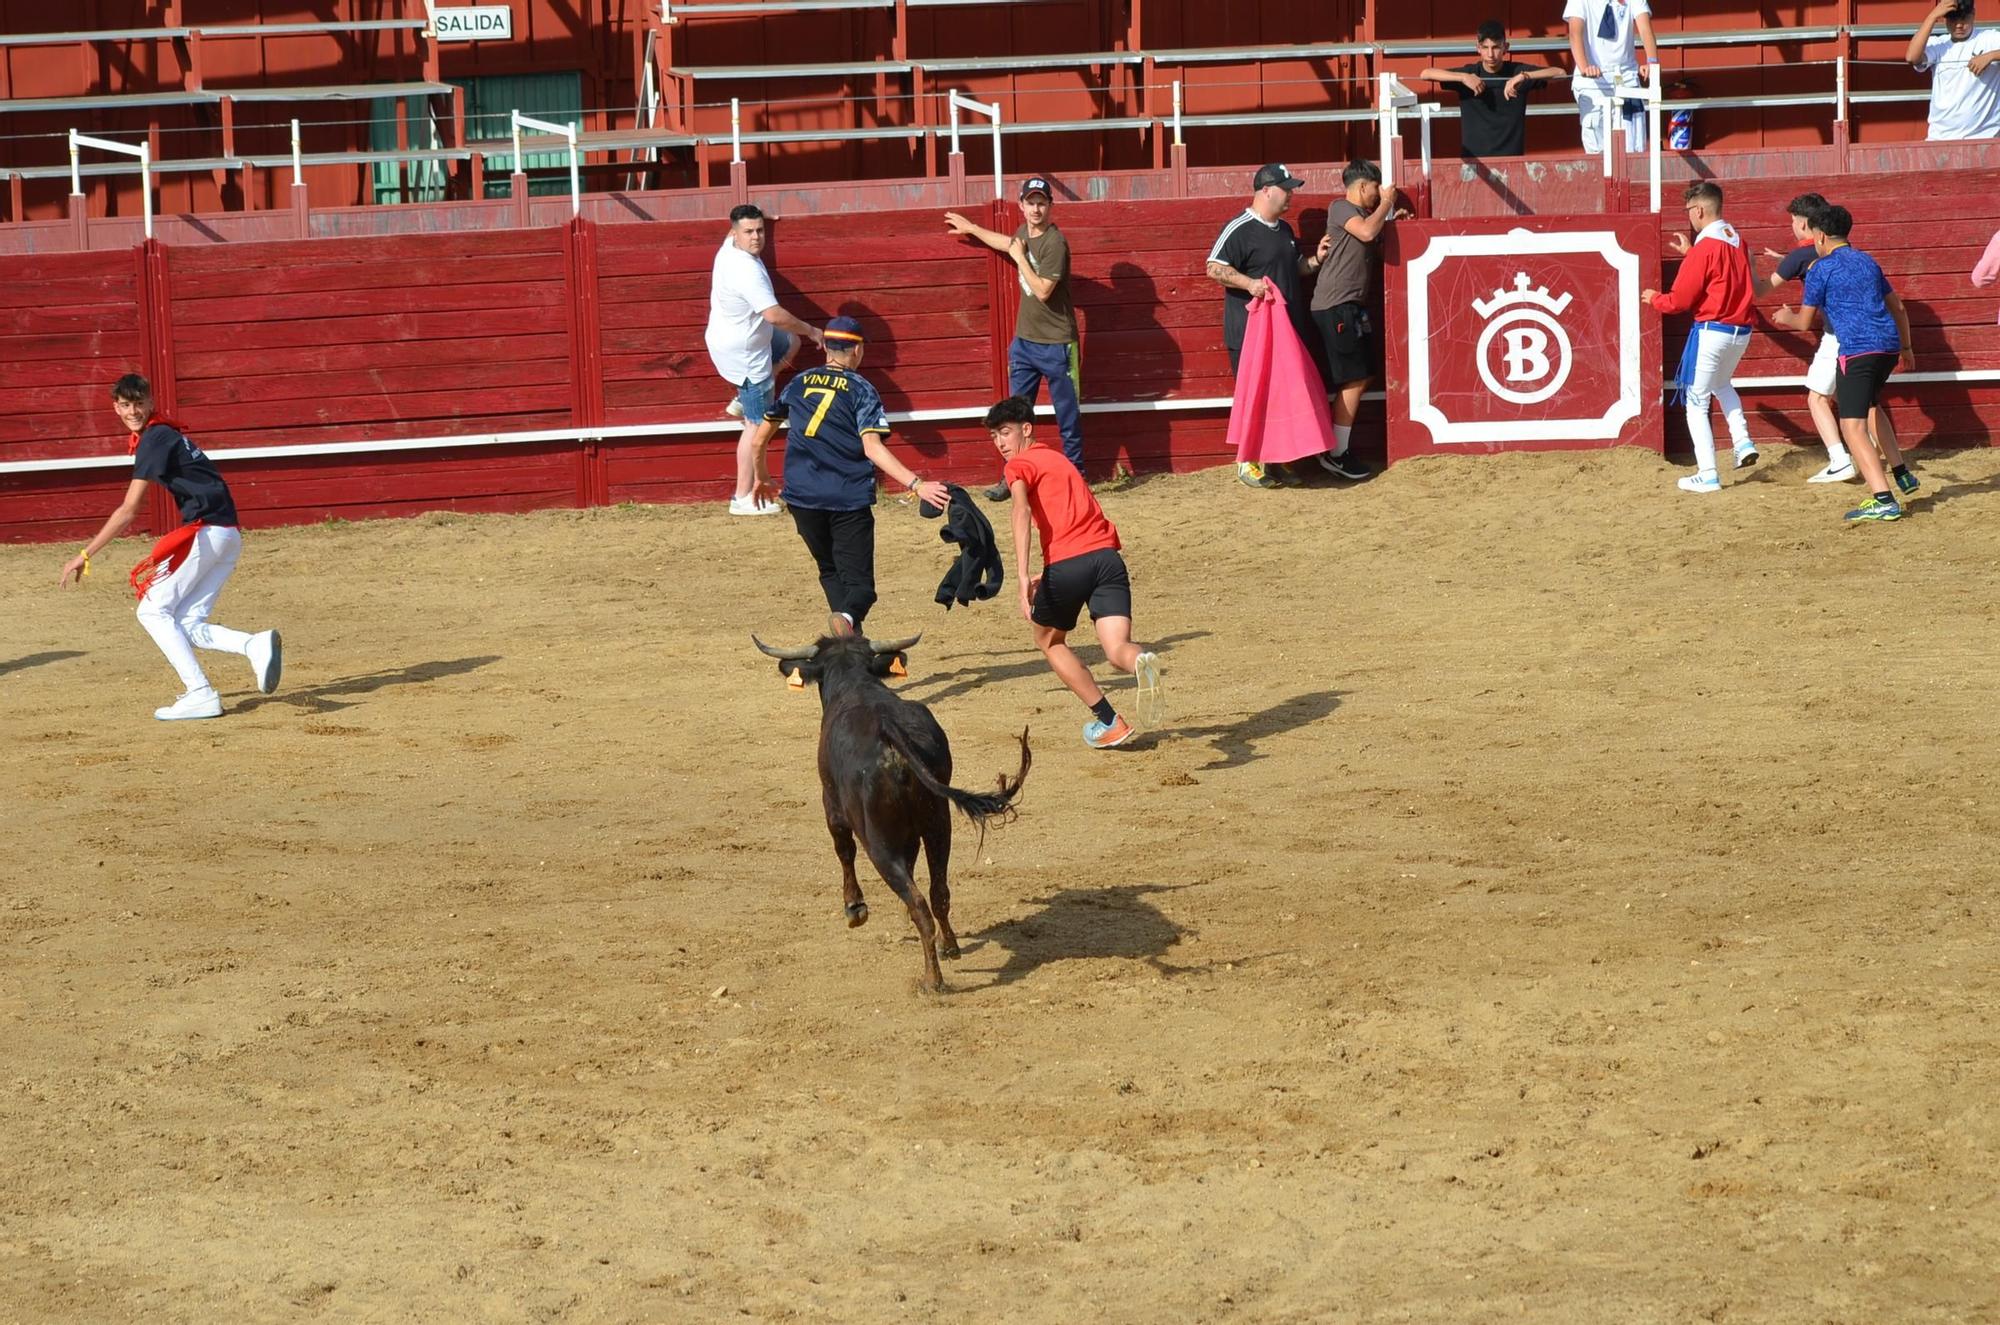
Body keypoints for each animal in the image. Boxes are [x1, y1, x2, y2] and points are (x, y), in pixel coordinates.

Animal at [752, 632, 1032, 984]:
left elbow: (844, 851)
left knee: (919, 902)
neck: (856, 683)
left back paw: (932, 981)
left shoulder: (832, 807)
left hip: (878, 843)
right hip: (938, 824)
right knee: (938, 893)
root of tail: (892, 739)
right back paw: (949, 947)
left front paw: (854, 908)